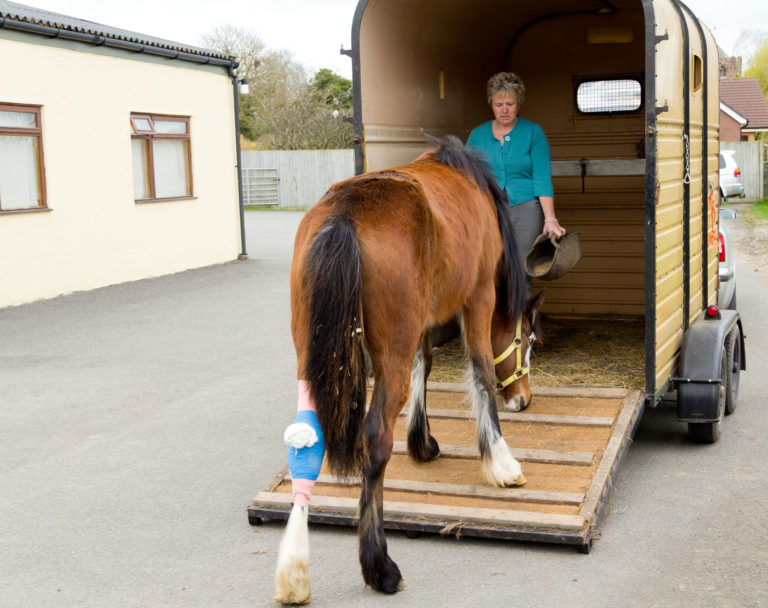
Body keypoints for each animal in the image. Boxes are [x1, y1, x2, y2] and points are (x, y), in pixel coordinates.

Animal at [272, 134, 544, 604]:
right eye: (527, 341)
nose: (523, 399)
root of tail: (344, 215)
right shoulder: (478, 296)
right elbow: (480, 373)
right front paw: (500, 460)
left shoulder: (423, 319)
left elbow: (426, 363)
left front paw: (422, 441)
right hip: (392, 350)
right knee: (376, 438)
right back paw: (379, 566)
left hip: (313, 357)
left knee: (304, 443)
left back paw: (294, 571)